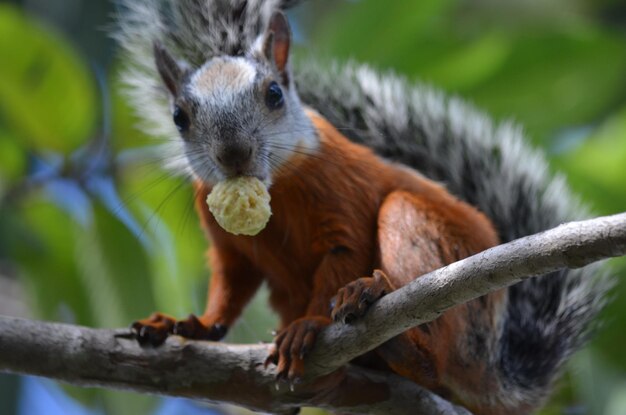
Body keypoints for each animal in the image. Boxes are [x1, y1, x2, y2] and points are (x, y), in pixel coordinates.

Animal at [114, 0, 608, 415]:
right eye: (179, 117)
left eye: (274, 94)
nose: (234, 155)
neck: (277, 188)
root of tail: (487, 369)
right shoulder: (227, 243)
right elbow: (230, 283)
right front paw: (189, 324)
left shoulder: (343, 197)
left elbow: (343, 252)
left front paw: (309, 324)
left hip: (426, 251)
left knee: (432, 358)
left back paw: (382, 314)